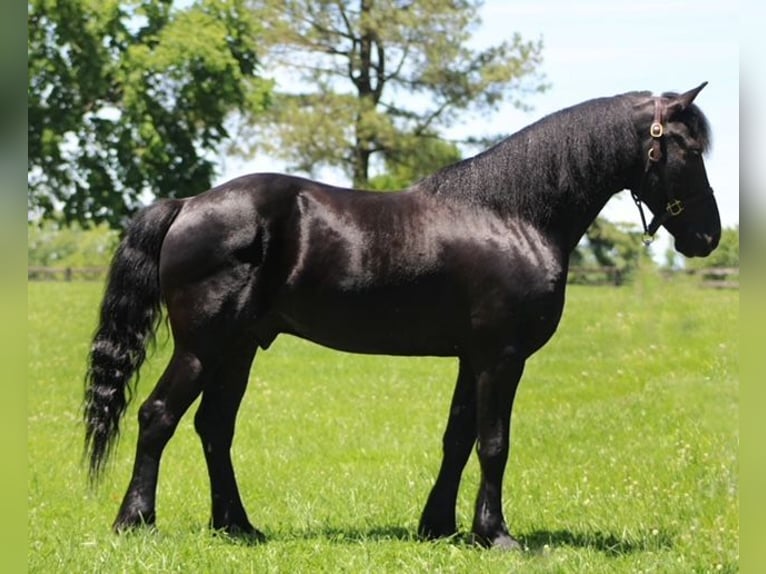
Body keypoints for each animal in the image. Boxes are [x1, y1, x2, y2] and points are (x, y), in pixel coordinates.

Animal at [83, 83, 720, 550]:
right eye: (688, 150)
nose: (709, 236)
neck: (513, 216)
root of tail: (188, 204)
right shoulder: (502, 358)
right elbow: (494, 443)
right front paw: (497, 536)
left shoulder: (473, 358)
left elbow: (458, 438)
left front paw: (438, 527)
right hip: (202, 346)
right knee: (158, 416)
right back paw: (135, 523)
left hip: (238, 348)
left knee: (214, 428)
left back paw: (237, 527)